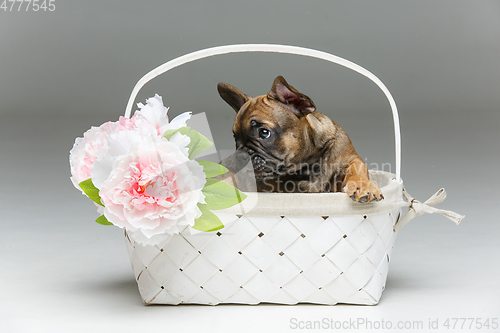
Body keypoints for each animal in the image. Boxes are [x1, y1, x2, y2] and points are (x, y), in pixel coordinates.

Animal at [218, 75, 382, 202]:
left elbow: (357, 170)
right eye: (235, 138)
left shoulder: (351, 158)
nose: (240, 154)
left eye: (264, 133)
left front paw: (363, 186)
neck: (308, 164)